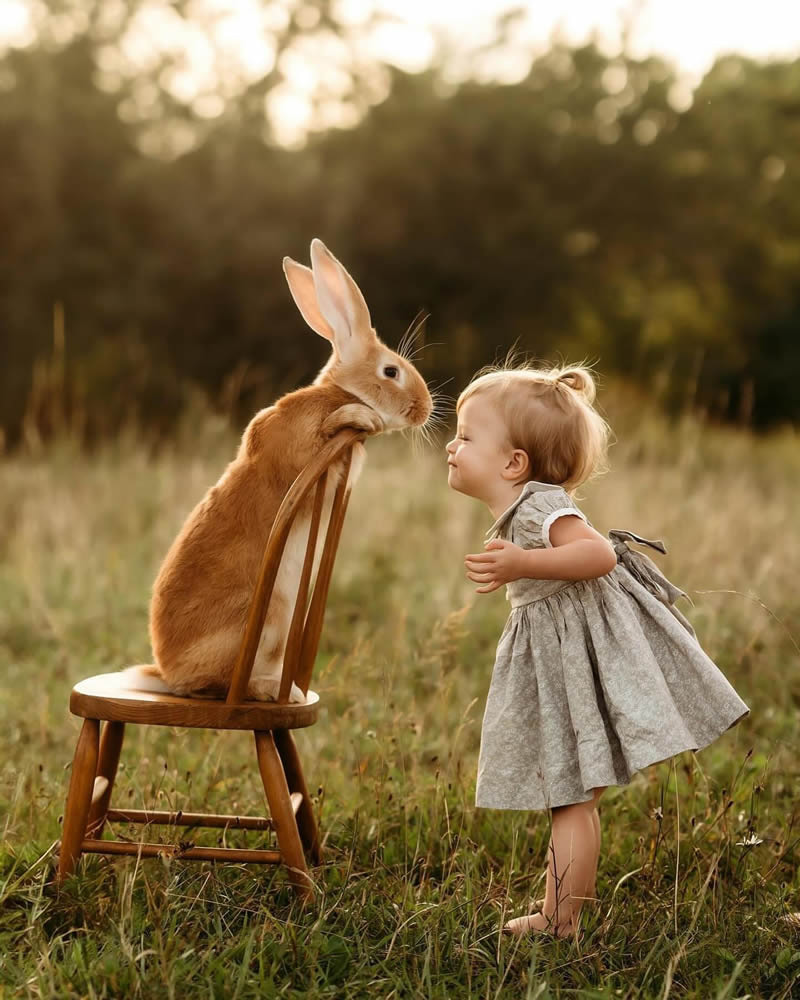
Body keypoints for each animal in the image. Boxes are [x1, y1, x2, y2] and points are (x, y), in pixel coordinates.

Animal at [123, 239, 433, 704]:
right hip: (269, 616)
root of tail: (167, 674)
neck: (338, 391)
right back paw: (276, 692)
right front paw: (360, 415)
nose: (425, 408)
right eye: (391, 371)